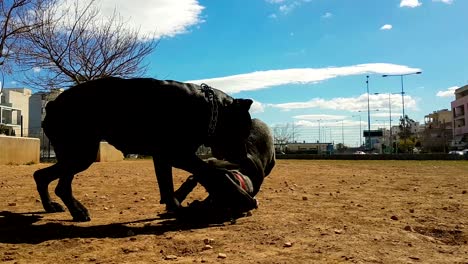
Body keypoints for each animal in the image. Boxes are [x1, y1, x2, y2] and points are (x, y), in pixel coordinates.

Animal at [33, 77, 252, 222]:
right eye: (244, 131)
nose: (245, 160)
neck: (207, 108)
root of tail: (51, 104)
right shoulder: (178, 155)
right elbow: (212, 172)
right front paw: (241, 198)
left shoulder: (163, 158)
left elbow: (167, 187)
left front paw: (175, 209)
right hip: (80, 154)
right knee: (60, 185)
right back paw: (78, 212)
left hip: (74, 155)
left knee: (43, 176)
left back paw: (52, 206)